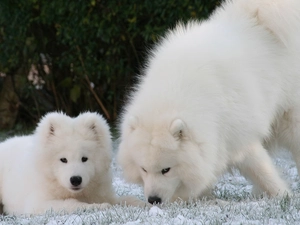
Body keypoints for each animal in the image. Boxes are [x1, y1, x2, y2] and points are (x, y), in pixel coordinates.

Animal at [0, 112, 143, 214]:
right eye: (63, 159)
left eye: (84, 158)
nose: (75, 180)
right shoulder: (37, 203)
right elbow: (71, 203)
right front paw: (97, 206)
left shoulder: (102, 193)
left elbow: (125, 199)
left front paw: (143, 203)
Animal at [117, 0, 300, 204]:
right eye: (143, 169)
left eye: (166, 170)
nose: (153, 200)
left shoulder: (238, 138)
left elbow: (261, 170)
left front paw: (282, 195)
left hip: (289, 117)